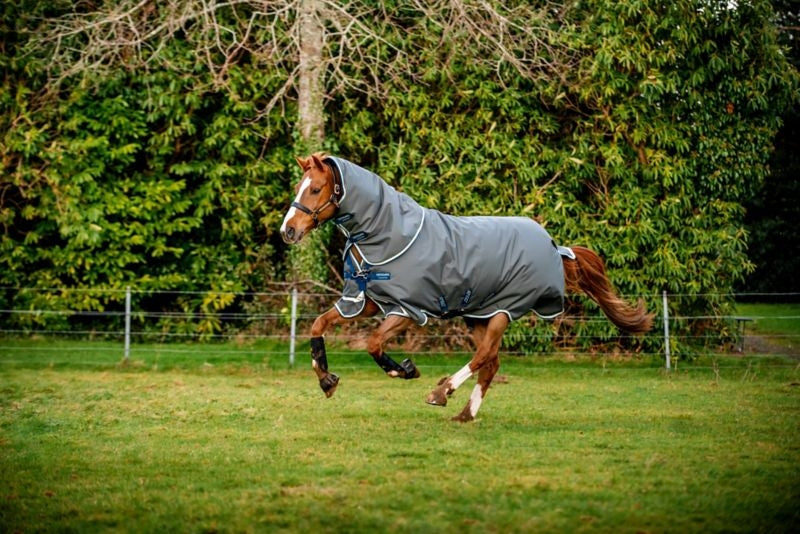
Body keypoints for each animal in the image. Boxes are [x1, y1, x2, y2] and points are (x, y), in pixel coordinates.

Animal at [280, 153, 653, 422]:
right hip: (479, 314)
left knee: (484, 356)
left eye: (315, 189)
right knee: (491, 363)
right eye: (300, 186)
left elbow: (373, 343)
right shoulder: (366, 300)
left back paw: (441, 393)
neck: (387, 233)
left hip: (504, 311)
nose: (288, 231)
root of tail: (555, 247)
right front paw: (327, 381)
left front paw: (405, 370)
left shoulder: (408, 310)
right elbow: (318, 325)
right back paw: (464, 414)